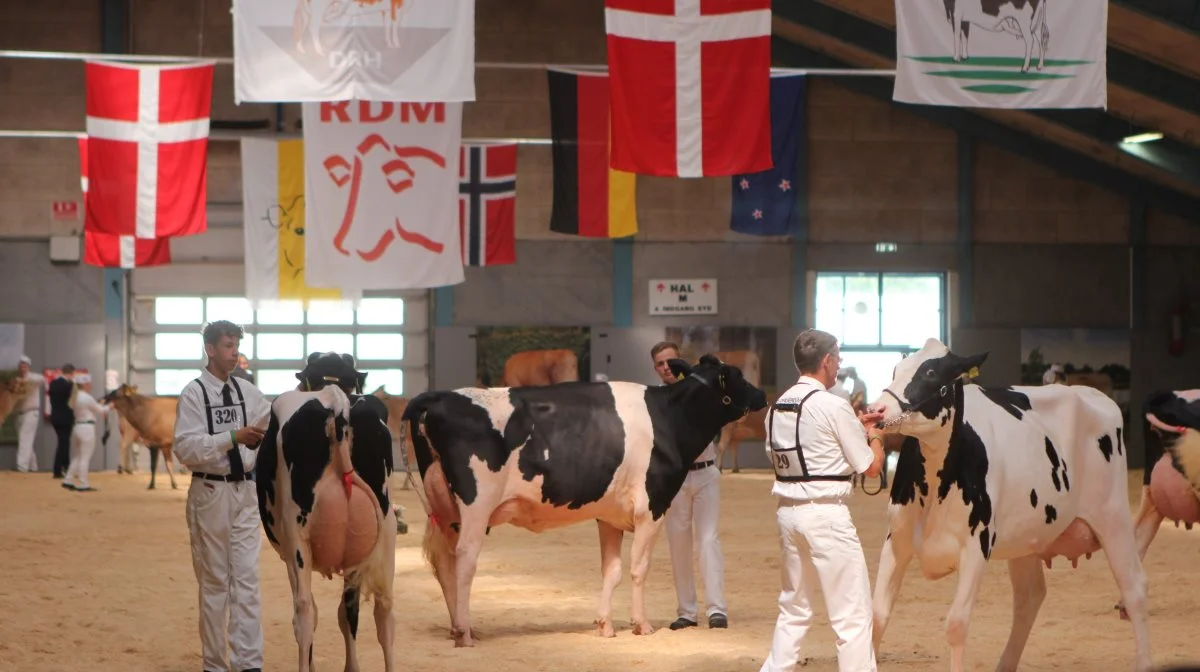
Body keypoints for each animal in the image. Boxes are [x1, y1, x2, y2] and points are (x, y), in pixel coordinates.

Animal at [256, 352, 398, 672]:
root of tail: (335, 400)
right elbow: (347, 613)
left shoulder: (289, 553)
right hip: (384, 530)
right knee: (382, 610)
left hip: (297, 535)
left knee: (304, 613)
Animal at [398, 355, 763, 648]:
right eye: (737, 375)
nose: (761, 395)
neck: (668, 419)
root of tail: (438, 395)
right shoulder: (652, 508)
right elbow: (638, 569)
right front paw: (641, 625)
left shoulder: (610, 515)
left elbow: (612, 571)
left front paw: (605, 626)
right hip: (476, 504)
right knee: (465, 561)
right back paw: (464, 634)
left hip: (445, 510)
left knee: (445, 564)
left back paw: (458, 628)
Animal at [864, 338, 1152, 672]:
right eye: (897, 369)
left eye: (932, 372)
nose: (875, 410)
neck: (935, 485)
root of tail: (1091, 393)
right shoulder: (897, 541)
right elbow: (877, 616)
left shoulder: (976, 546)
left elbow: (957, 624)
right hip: (1026, 536)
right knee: (1030, 596)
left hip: (1113, 516)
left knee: (1134, 588)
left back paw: (1144, 661)